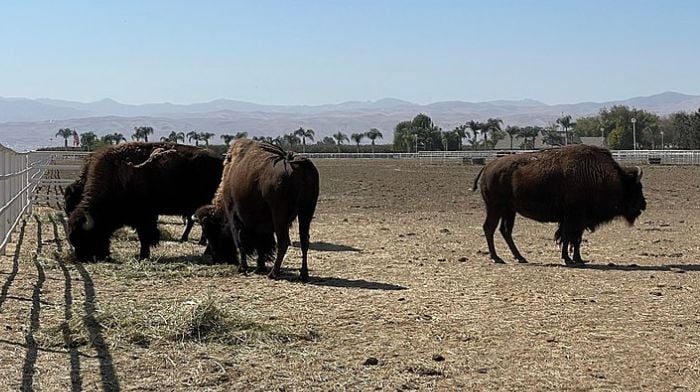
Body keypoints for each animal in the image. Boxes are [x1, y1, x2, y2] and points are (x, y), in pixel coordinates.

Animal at [67, 142, 223, 262]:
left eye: (85, 236)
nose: (84, 258)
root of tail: (222, 160)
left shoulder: (145, 217)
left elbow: (145, 236)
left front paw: (143, 256)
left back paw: (207, 252)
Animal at [198, 141, 322, 282]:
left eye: (211, 232)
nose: (217, 259)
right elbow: (261, 244)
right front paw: (260, 266)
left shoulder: (236, 218)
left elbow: (241, 242)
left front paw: (243, 267)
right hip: (306, 213)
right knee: (304, 241)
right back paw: (303, 274)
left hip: (280, 215)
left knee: (284, 242)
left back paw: (273, 274)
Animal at [474, 145, 648, 264]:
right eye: (637, 187)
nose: (643, 205)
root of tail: (488, 166)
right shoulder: (574, 218)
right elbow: (569, 238)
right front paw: (571, 259)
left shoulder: (576, 220)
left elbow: (573, 239)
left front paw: (577, 259)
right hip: (495, 208)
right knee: (490, 228)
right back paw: (497, 258)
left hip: (509, 211)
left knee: (505, 231)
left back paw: (520, 257)